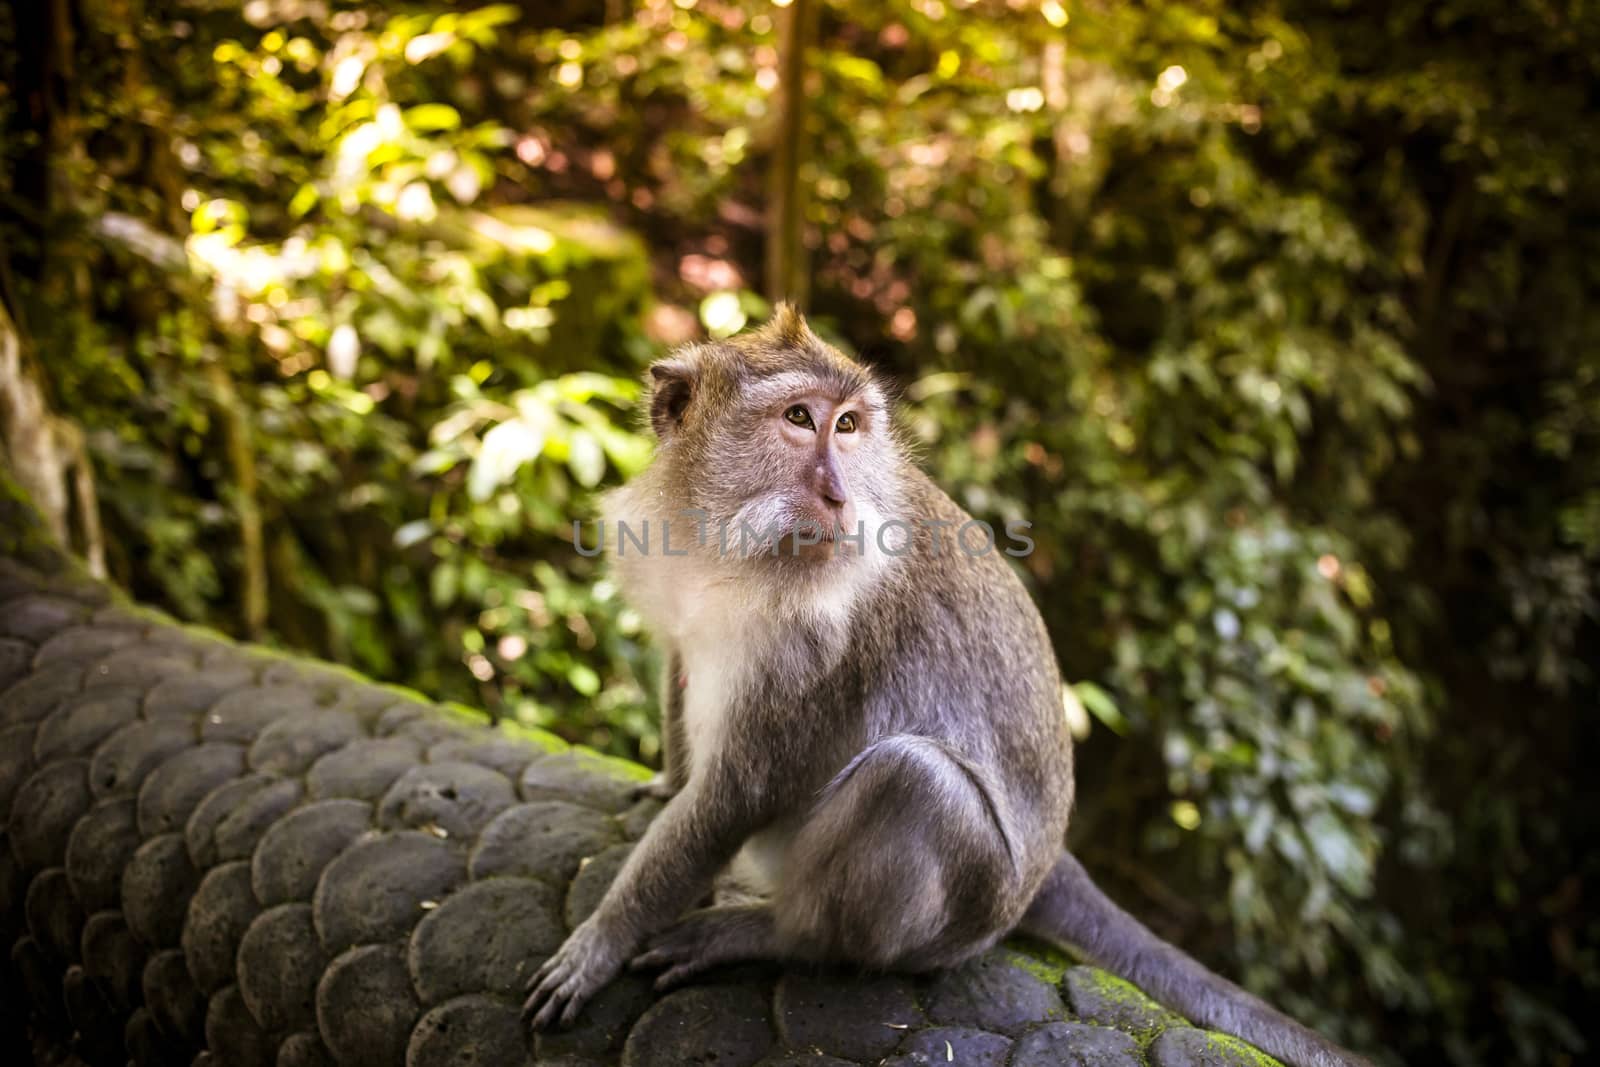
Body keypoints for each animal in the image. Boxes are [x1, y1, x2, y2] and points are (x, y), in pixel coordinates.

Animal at [518, 302, 1369, 1067]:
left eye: (848, 426)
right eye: (798, 417)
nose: (837, 494)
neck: (729, 543)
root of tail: (1047, 864)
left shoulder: (816, 642)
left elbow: (740, 790)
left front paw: (600, 940)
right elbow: (680, 662)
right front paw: (668, 782)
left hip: (970, 905)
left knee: (911, 779)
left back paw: (777, 932)